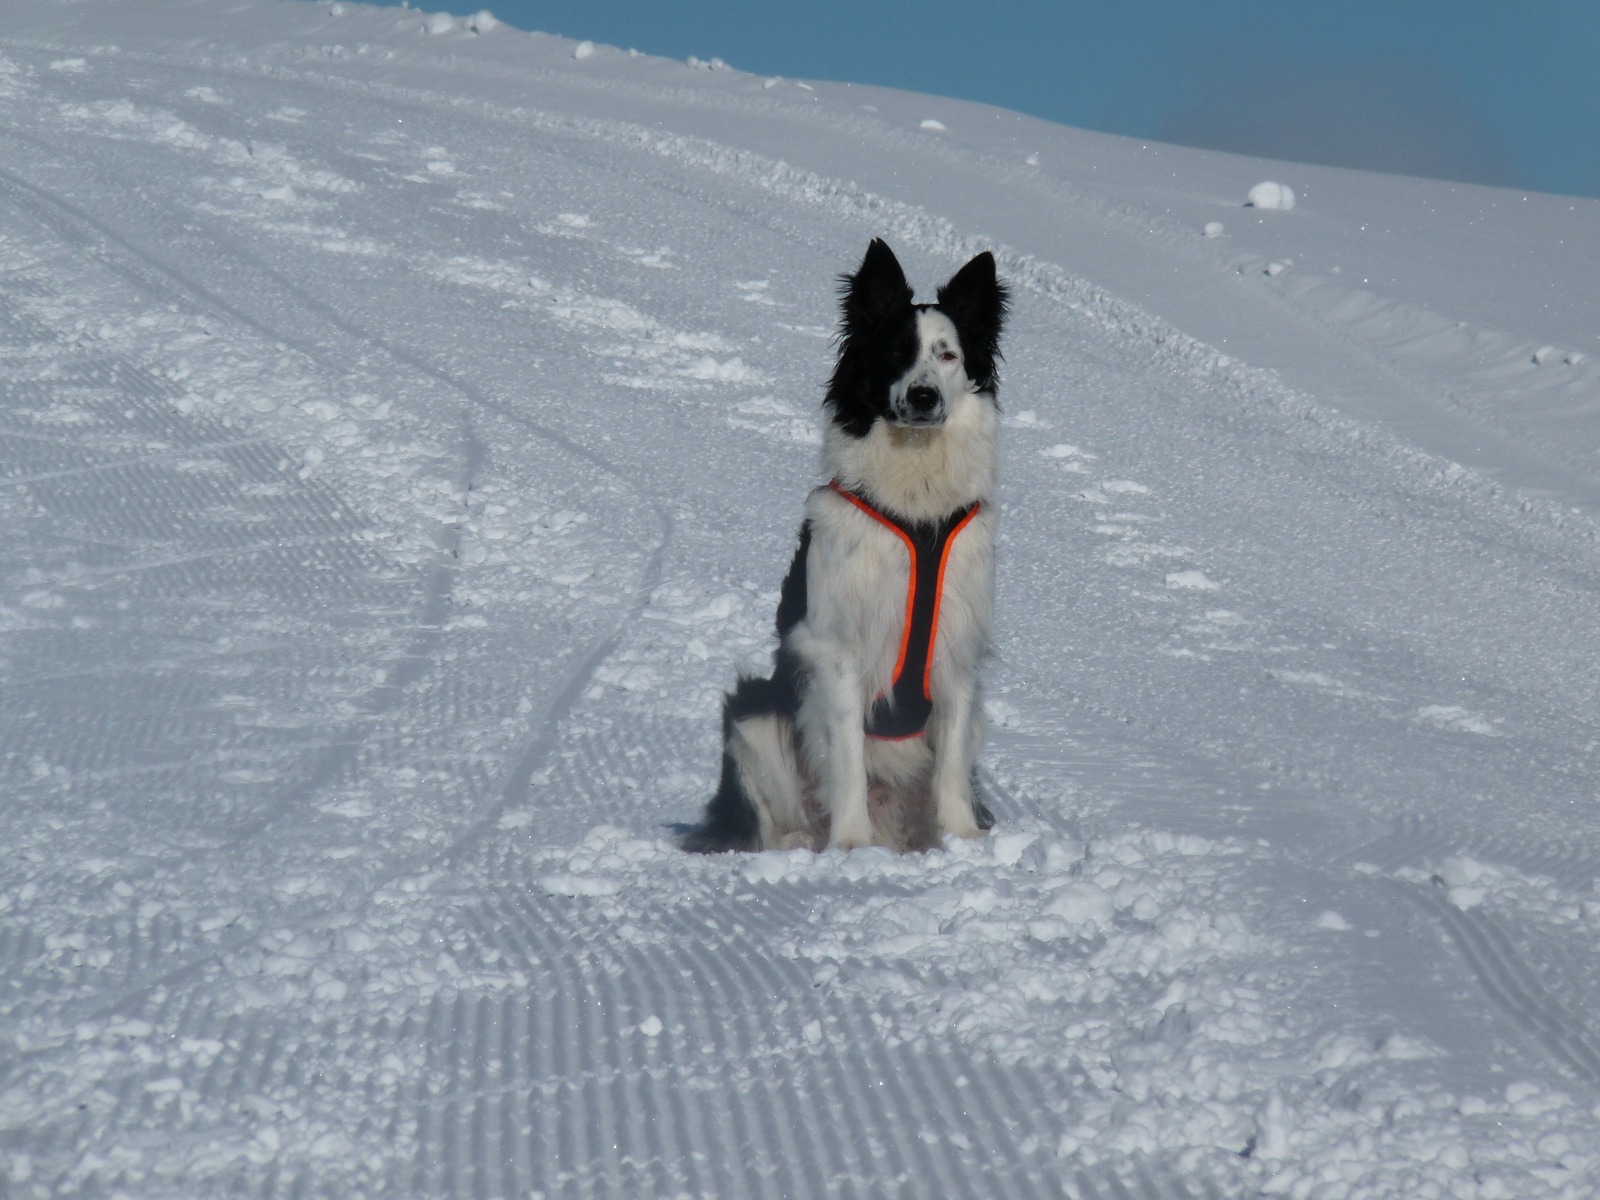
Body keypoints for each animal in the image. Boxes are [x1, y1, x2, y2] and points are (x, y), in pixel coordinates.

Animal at [682, 239, 1009, 853]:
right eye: (895, 353)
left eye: (948, 356)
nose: (923, 397)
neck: (915, 500)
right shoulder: (836, 648)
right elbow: (849, 758)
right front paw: (853, 847)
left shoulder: (957, 648)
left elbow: (952, 762)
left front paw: (964, 839)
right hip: (754, 715)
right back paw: (802, 845)